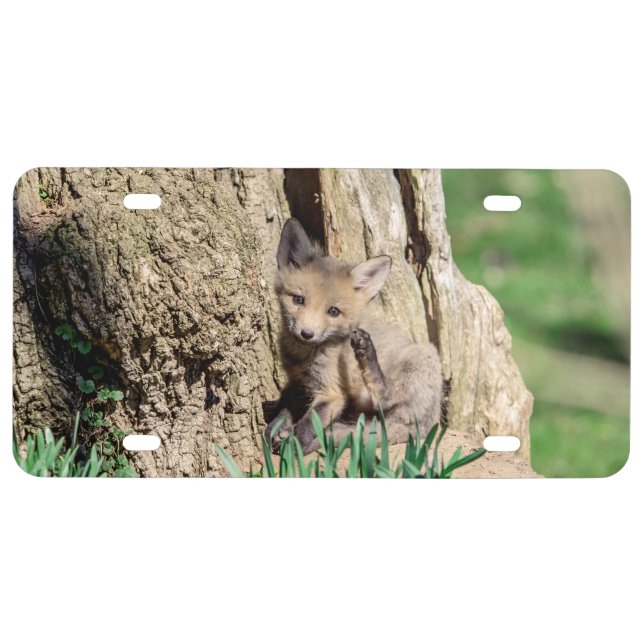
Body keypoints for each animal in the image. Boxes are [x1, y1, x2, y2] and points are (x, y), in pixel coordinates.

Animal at [266, 218, 443, 454]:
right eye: (298, 300)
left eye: (333, 311)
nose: (307, 333)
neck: (305, 357)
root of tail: (427, 424)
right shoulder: (298, 381)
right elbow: (284, 407)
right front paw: (275, 428)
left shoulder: (332, 393)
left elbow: (309, 422)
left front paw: (293, 443)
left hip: (423, 356)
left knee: (384, 397)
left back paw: (366, 351)